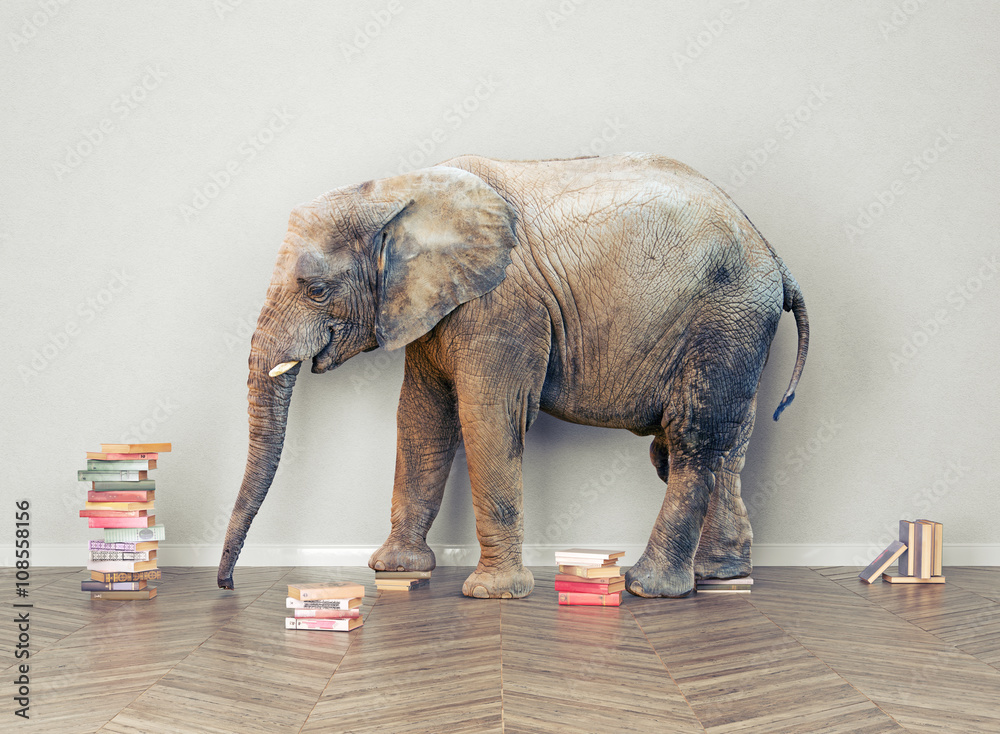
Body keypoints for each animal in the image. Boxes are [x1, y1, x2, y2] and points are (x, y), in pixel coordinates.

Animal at [217, 152, 809, 599]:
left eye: (316, 290)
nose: (225, 587)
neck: (400, 190)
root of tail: (775, 256)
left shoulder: (502, 306)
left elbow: (487, 419)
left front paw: (491, 594)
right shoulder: (434, 308)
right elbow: (421, 420)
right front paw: (396, 569)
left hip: (724, 319)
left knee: (690, 440)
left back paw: (649, 588)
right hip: (737, 331)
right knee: (720, 444)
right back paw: (721, 574)